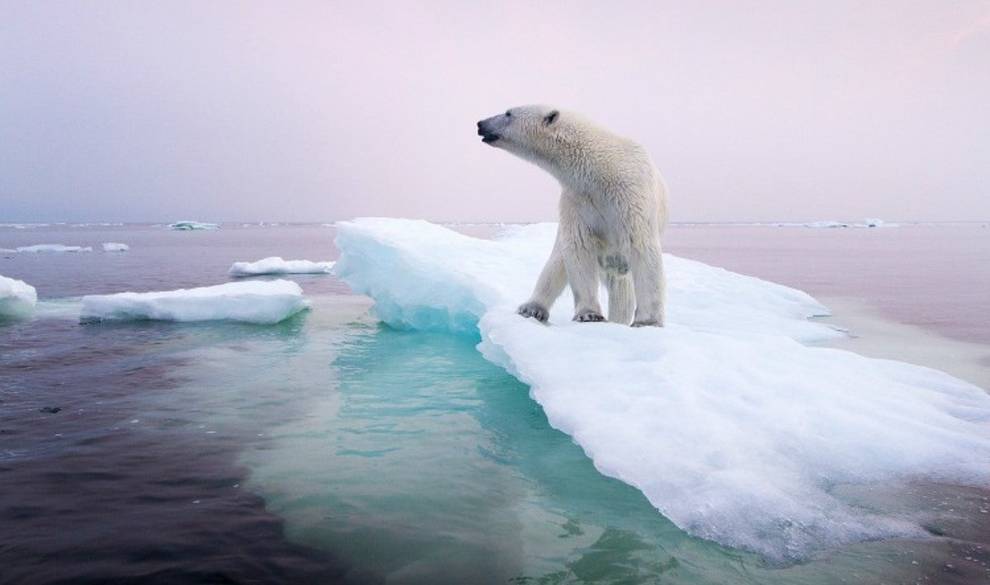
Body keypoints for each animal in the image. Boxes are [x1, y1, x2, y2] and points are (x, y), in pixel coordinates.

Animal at [478, 105, 672, 324]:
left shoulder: (630, 195)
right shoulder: (577, 199)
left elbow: (641, 245)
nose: (480, 123)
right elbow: (578, 246)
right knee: (557, 261)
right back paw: (532, 308)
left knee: (622, 288)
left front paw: (647, 321)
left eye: (508, 113)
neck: (601, 170)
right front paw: (589, 314)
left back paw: (618, 319)